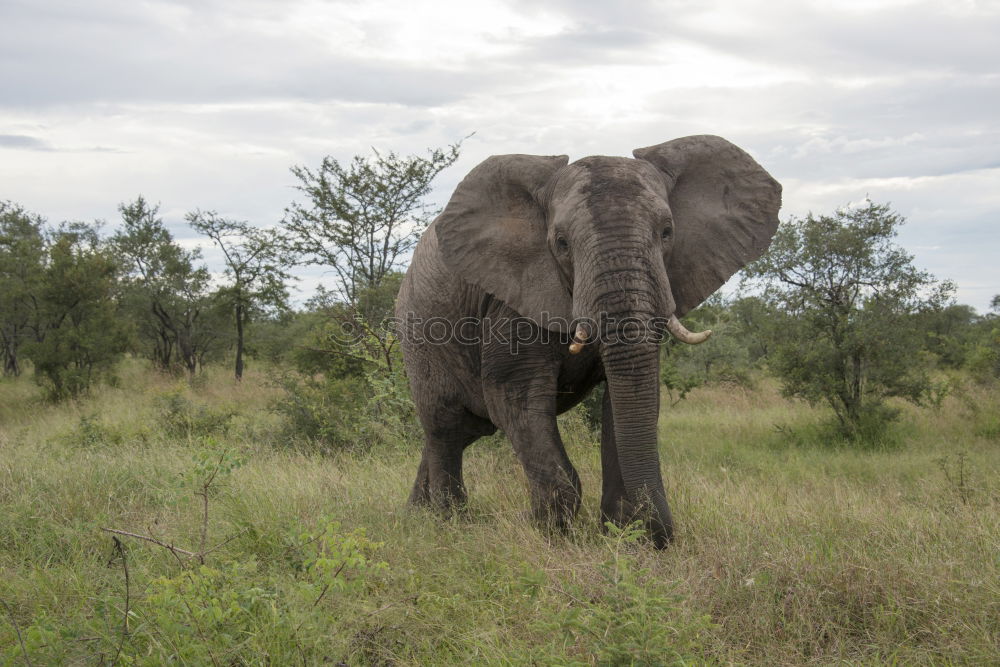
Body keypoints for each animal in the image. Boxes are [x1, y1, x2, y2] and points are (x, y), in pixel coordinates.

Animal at [396, 136, 780, 548]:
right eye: (561, 243)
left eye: (667, 232)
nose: (658, 538)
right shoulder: (514, 296)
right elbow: (515, 396)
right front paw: (551, 536)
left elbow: (628, 395)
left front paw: (620, 534)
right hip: (420, 333)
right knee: (445, 426)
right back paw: (448, 524)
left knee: (460, 431)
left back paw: (416, 516)